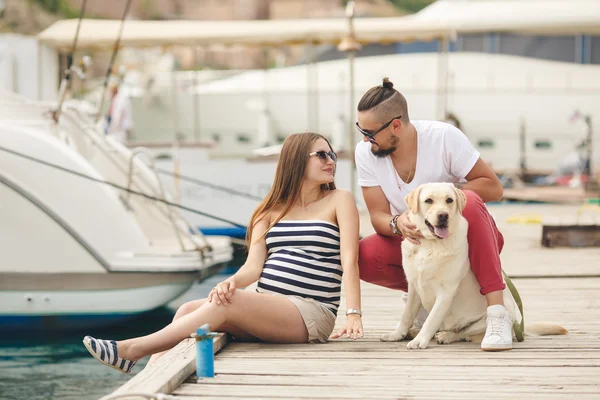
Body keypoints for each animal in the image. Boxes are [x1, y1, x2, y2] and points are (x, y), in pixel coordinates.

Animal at [382, 183, 564, 348]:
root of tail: (517, 328)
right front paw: (397, 334)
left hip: (485, 319)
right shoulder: (414, 286)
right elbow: (407, 315)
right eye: (428, 200)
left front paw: (420, 340)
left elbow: (432, 318)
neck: (431, 244)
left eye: (449, 200)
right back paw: (415, 331)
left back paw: (446, 335)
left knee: (462, 332)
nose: (443, 215)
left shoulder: (446, 291)